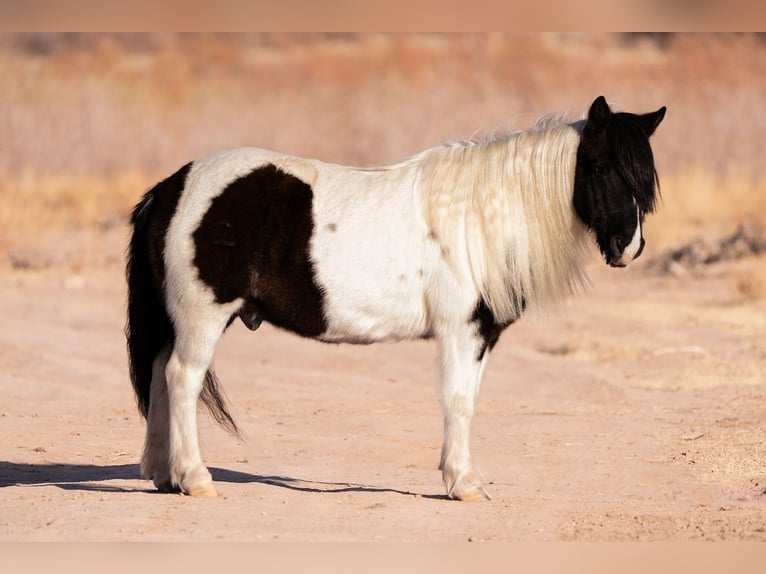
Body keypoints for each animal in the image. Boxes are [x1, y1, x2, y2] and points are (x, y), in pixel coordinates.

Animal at [126, 97, 664, 502]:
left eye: (643, 181)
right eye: (601, 166)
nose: (628, 246)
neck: (480, 217)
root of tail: (170, 188)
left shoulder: (482, 336)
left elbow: (470, 400)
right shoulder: (461, 331)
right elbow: (458, 401)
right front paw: (463, 484)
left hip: (177, 321)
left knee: (157, 373)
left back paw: (162, 474)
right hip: (203, 317)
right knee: (181, 378)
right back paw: (196, 478)